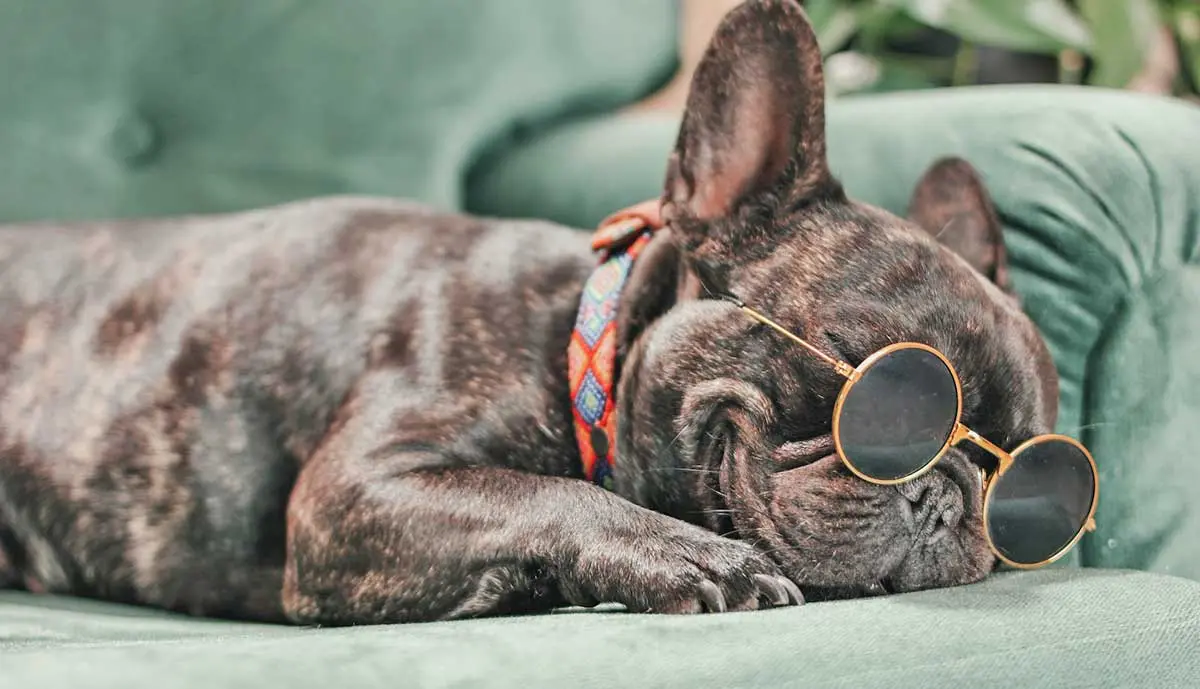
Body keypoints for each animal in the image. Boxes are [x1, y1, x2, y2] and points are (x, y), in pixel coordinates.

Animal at [0, 0, 1056, 624]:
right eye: (883, 401)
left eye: (1019, 478)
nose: (946, 496)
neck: (577, 346)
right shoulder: (356, 490)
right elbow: (541, 492)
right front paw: (689, 555)